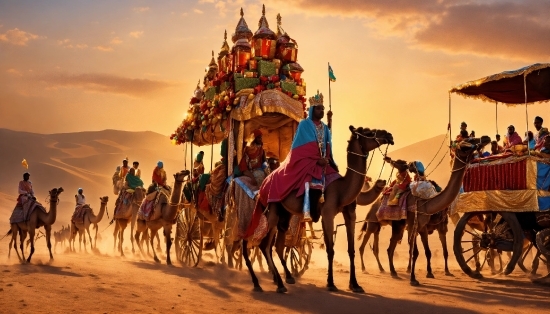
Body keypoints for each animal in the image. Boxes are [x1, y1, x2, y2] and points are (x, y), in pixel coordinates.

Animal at [244, 125, 394, 294]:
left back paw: (284, 279)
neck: (342, 189)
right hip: (272, 210)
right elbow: (330, 249)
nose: (388, 135)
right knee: (261, 243)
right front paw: (331, 283)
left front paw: (355, 285)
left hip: (284, 214)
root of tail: (264, 183)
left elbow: (351, 250)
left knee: (275, 245)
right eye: (369, 132)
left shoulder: (350, 214)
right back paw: (272, 283)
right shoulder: (327, 213)